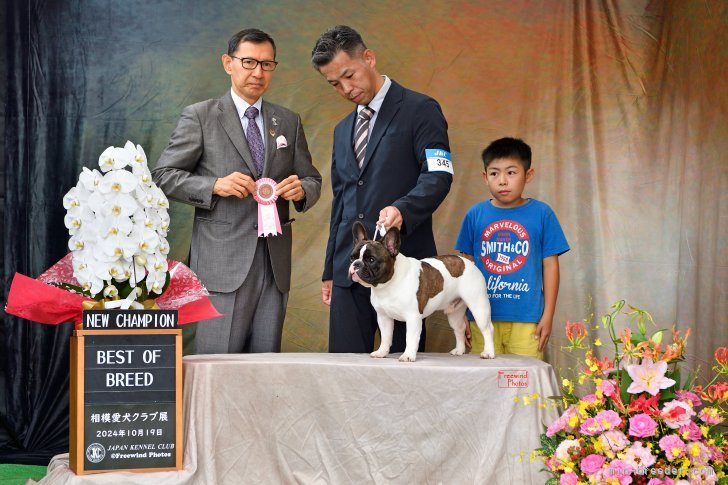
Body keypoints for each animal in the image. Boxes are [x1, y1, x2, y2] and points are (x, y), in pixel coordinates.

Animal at [349, 221, 495, 362]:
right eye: (352, 257)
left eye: (371, 260)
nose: (356, 264)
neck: (387, 284)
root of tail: (470, 263)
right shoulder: (384, 317)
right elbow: (386, 337)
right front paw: (381, 352)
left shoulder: (413, 318)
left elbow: (410, 338)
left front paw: (408, 356)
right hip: (455, 313)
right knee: (460, 328)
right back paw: (459, 351)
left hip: (479, 307)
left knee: (487, 329)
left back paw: (488, 353)